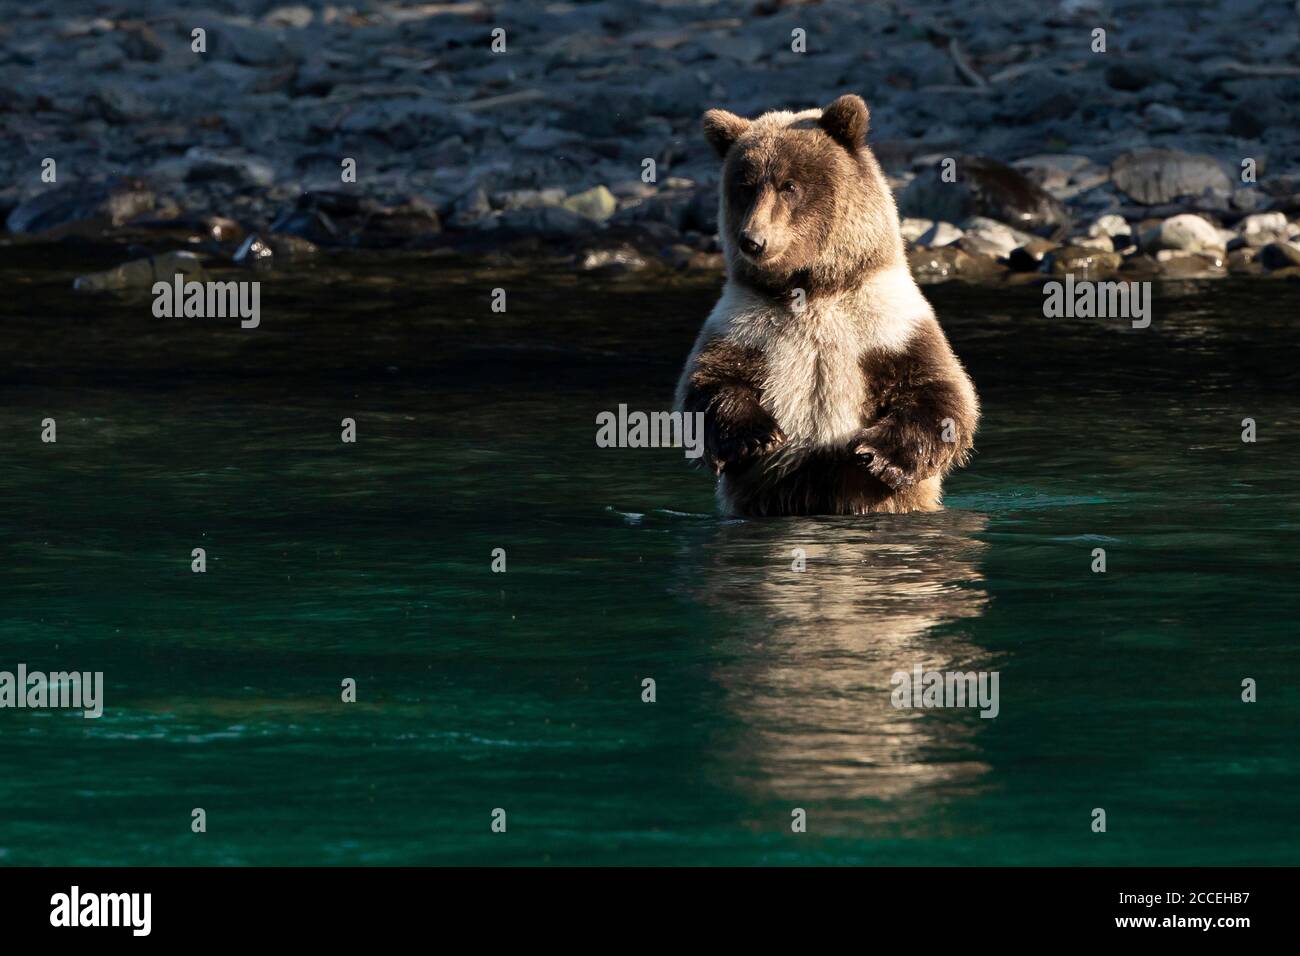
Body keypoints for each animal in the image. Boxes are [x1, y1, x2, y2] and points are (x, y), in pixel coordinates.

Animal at [674, 94, 979, 517]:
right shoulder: (744, 323)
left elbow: (941, 393)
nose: (752, 240)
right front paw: (757, 437)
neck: (813, 290)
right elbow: (707, 385)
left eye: (789, 185)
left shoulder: (887, 321)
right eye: (745, 186)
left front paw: (878, 454)